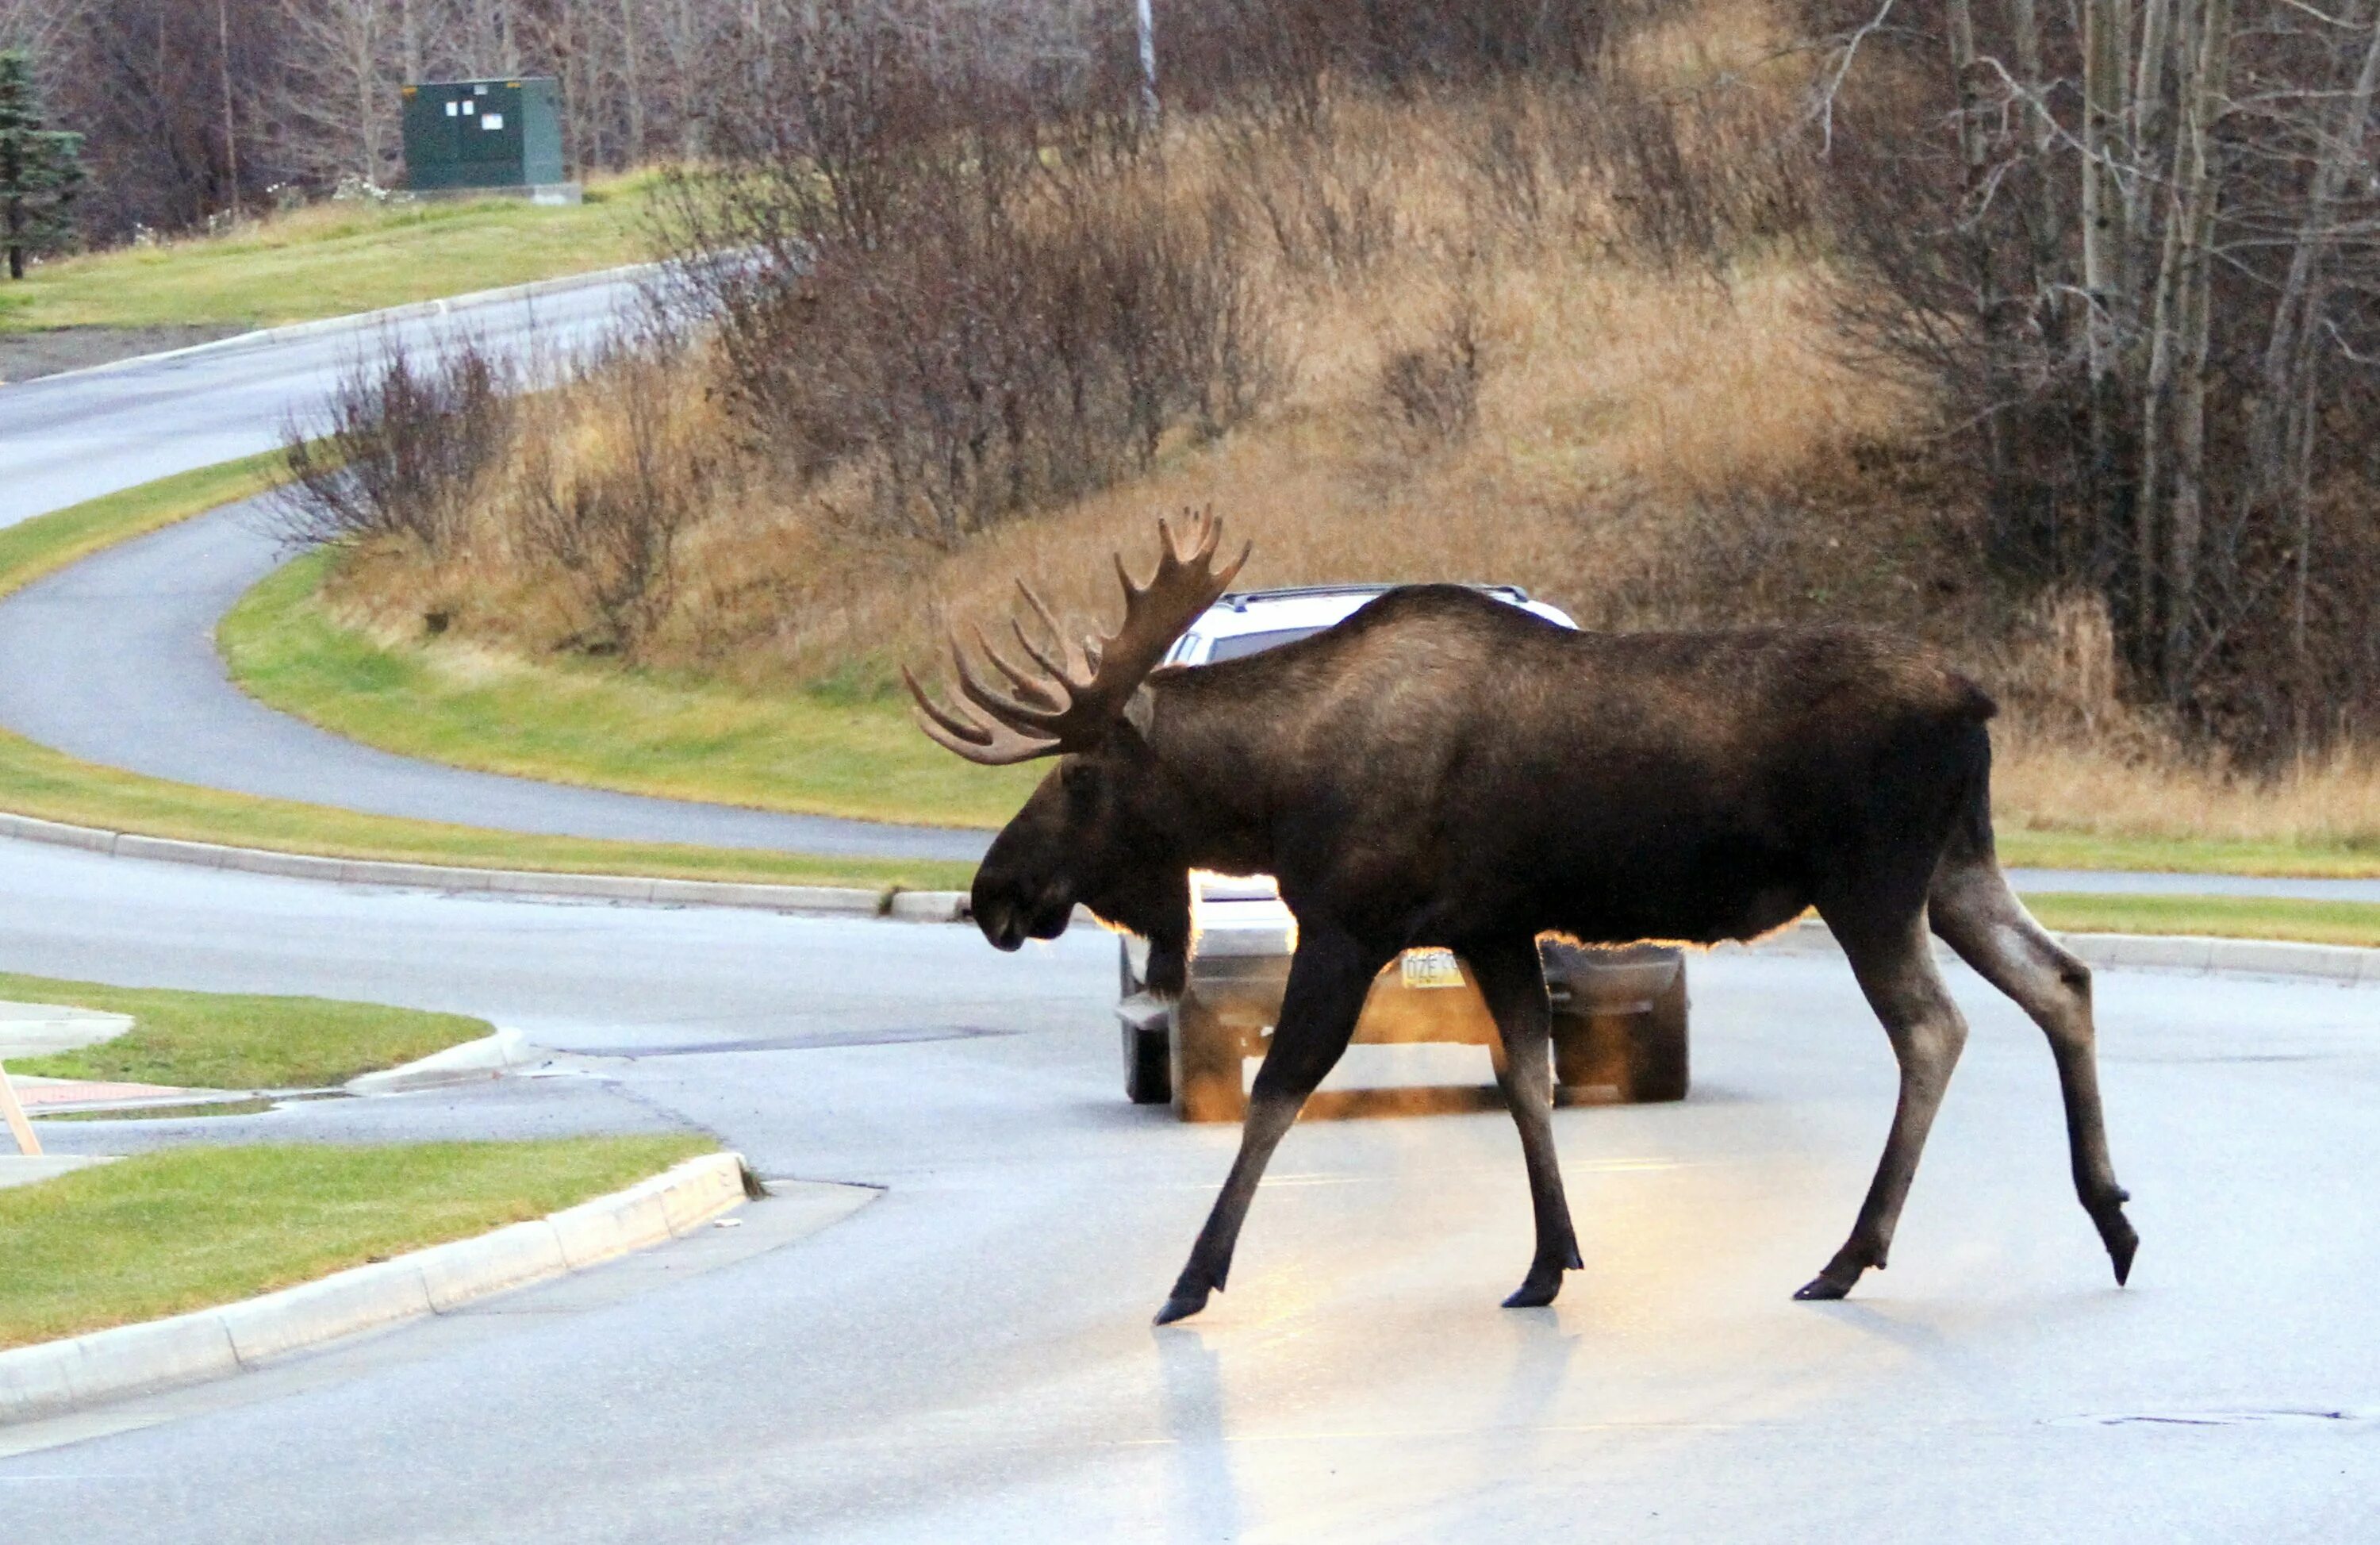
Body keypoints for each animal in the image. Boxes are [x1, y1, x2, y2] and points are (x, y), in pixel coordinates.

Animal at [909, 512, 2142, 1324]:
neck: (1275, 793)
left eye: (1077, 780)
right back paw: (2113, 1216)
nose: (994, 892)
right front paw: (1550, 1262)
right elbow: (1528, 1078)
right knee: (2062, 977)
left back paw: (1852, 1253)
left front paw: (1189, 1279)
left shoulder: (1352, 922)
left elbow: (1278, 1094)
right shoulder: (1491, 924)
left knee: (1935, 1027)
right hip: (1956, 864)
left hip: (1870, 880)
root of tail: (1975, 703)